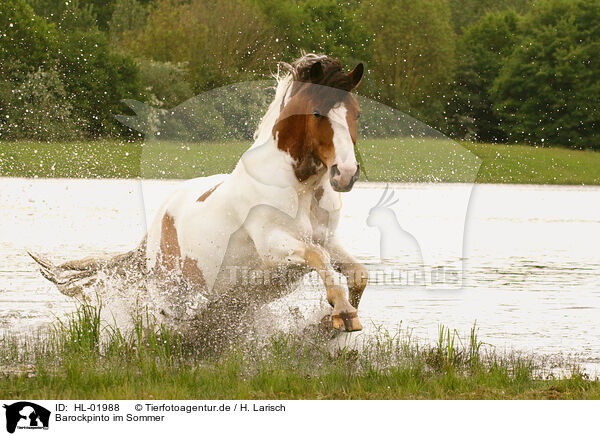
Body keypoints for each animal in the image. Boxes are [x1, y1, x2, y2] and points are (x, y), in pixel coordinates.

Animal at [30, 54, 368, 334]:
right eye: (317, 113)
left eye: (356, 113)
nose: (346, 173)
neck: (298, 185)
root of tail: (154, 230)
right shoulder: (273, 245)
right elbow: (319, 257)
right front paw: (341, 313)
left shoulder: (327, 239)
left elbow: (356, 272)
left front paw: (331, 322)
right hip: (174, 296)